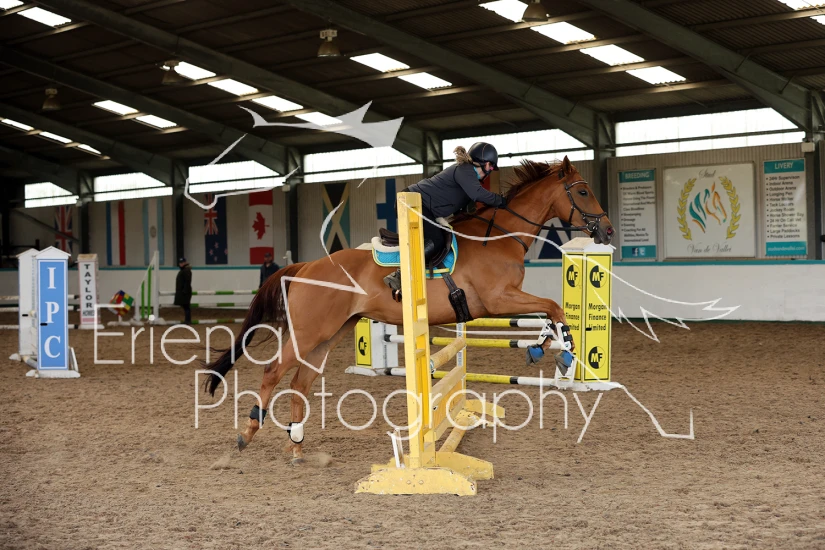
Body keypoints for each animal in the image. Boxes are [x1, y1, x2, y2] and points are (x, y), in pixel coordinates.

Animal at [203, 156, 614, 463]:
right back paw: (248, 433)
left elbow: (550, 310)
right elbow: (554, 307)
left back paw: (297, 447)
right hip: (310, 332)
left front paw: (545, 348)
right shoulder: (498, 298)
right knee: (273, 373)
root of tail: (304, 268)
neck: (499, 236)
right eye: (583, 191)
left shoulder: (506, 298)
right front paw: (563, 353)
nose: (607, 231)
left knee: (300, 384)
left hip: (330, 333)